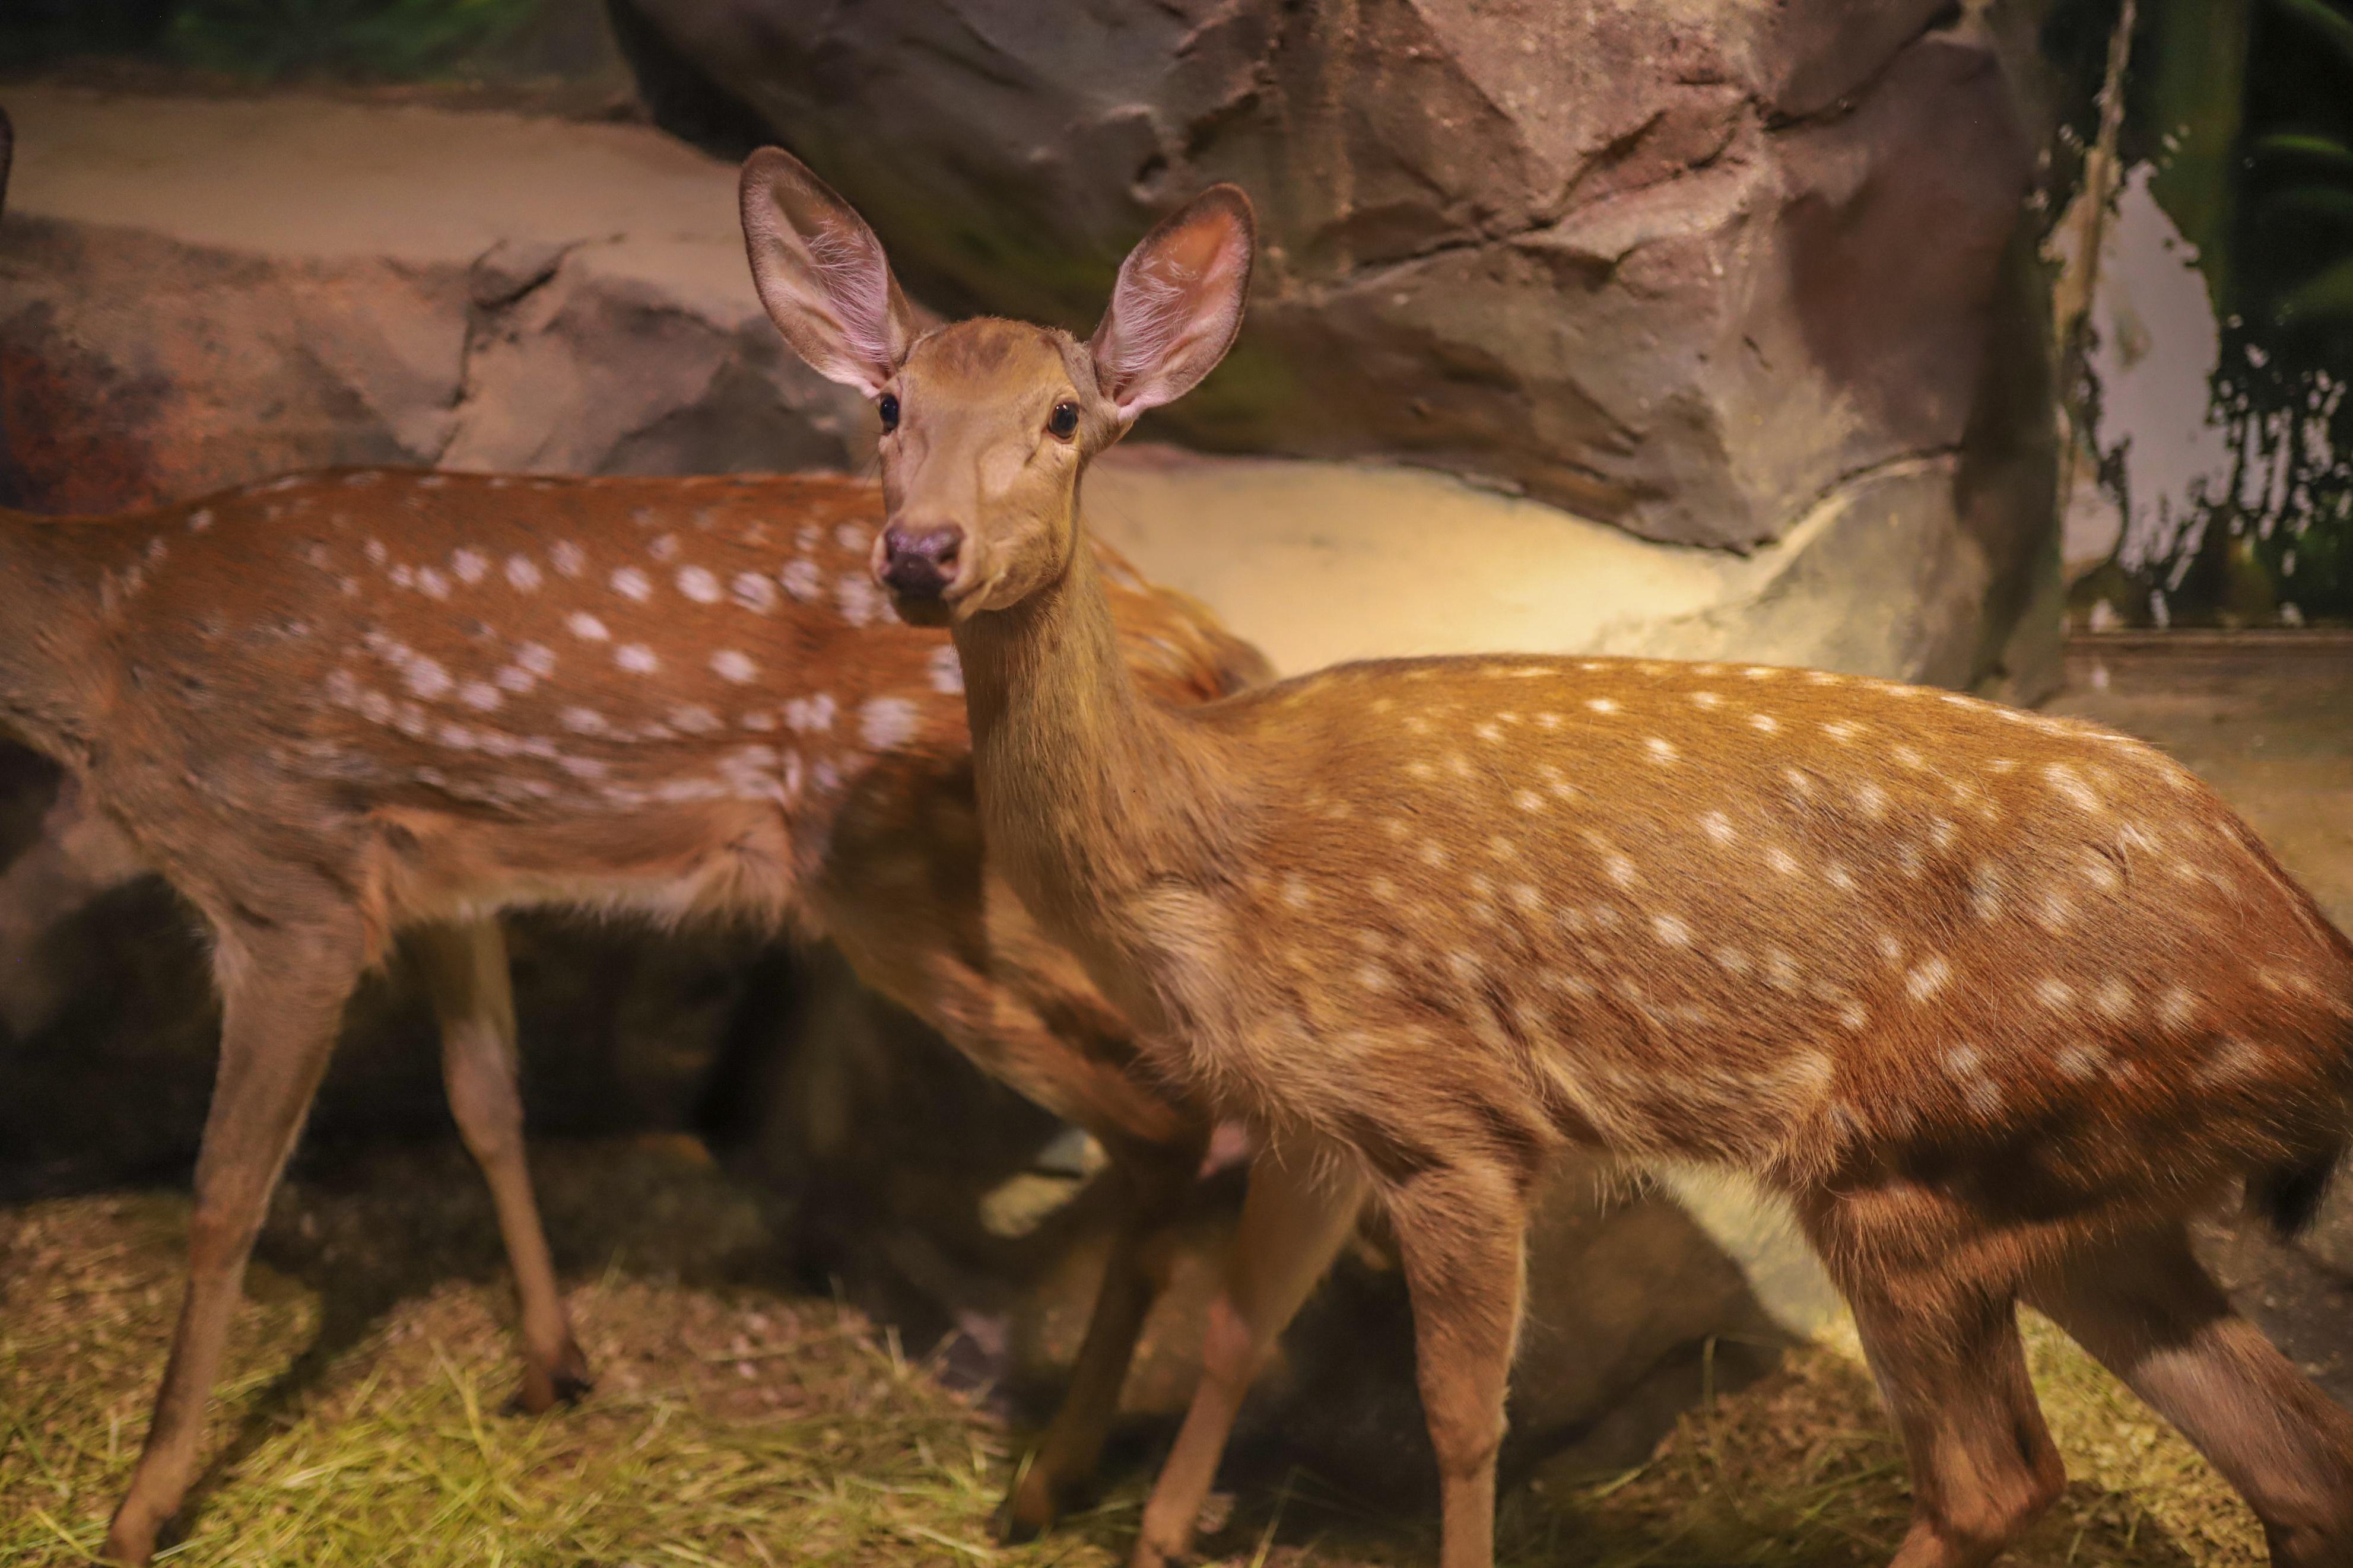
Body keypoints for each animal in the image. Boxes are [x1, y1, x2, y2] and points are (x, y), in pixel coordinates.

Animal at [0, 456, 1279, 1561]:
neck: (106, 644)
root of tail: (1208, 643)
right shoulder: (445, 878)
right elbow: (485, 1102)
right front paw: (552, 1363)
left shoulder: (286, 884)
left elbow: (224, 1195)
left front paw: (137, 1511)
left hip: (923, 885)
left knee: (1172, 1122)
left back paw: (1054, 1485)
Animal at [739, 150, 2353, 1568]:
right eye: (889, 403)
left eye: (1066, 414)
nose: (921, 552)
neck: (1201, 852)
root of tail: (2313, 976)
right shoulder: (1320, 1115)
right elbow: (1237, 1329)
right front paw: (1146, 1534)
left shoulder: (1453, 1112)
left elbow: (1463, 1420)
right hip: (2075, 1196)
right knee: (2292, 1452)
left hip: (1922, 1168)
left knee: (1999, 1476)